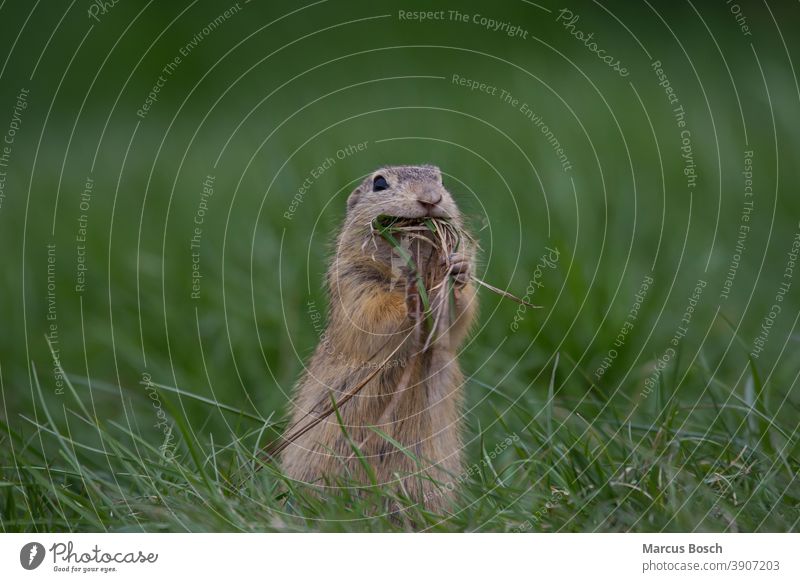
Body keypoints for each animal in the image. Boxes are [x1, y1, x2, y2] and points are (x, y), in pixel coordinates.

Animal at [282, 165, 476, 516]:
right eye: (380, 183)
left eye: (440, 179)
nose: (431, 198)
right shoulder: (354, 281)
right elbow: (374, 313)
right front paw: (412, 298)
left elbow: (455, 323)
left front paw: (457, 268)